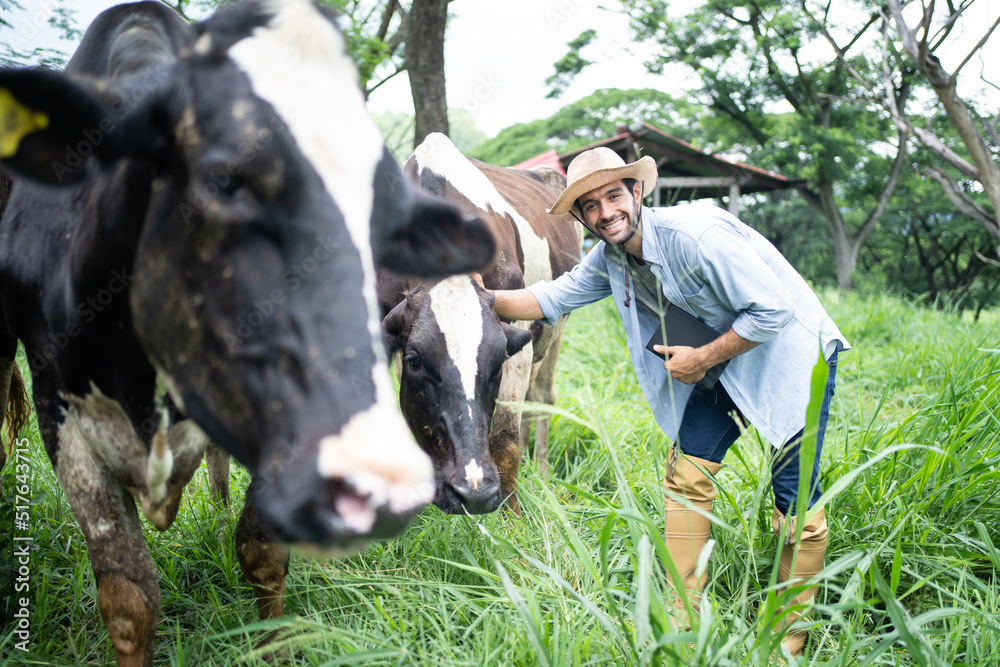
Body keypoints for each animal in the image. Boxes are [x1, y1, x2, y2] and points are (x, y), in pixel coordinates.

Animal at [0, 2, 494, 664]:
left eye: (387, 223)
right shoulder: (63, 419)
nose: (376, 477)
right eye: (224, 180)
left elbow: (261, 554)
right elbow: (129, 599)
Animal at [376, 132, 584, 516]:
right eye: (415, 361)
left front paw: (512, 518)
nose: (471, 491)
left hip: (556, 331)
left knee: (542, 396)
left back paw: (542, 471)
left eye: (497, 360)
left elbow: (504, 437)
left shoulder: (517, 338)